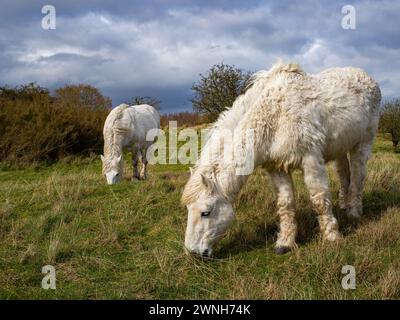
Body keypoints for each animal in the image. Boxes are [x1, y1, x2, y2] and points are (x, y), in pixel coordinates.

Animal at [182, 61, 382, 258]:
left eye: (205, 213)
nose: (193, 253)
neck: (274, 115)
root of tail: (367, 78)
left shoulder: (310, 160)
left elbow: (319, 198)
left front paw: (332, 237)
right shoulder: (277, 168)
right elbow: (285, 204)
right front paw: (285, 243)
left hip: (362, 143)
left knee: (358, 176)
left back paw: (354, 213)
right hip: (341, 148)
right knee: (344, 174)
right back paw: (344, 206)